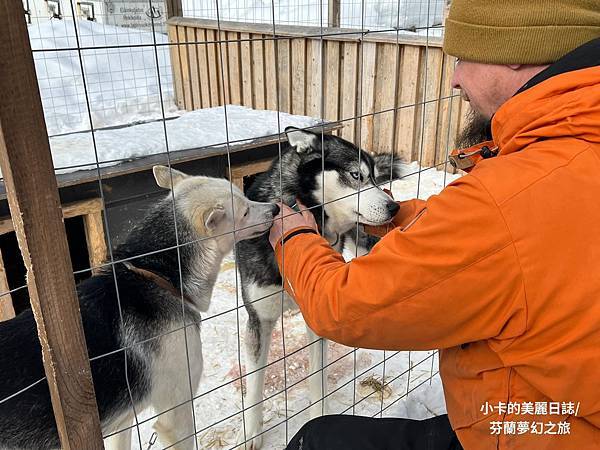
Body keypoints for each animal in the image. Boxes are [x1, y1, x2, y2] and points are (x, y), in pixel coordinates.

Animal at [0, 165, 280, 450]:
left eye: (244, 197)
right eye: (244, 212)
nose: (275, 208)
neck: (156, 275)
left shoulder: (121, 422)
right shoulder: (176, 413)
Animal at [237, 127, 400, 450]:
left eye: (375, 177)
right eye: (356, 175)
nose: (394, 206)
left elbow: (317, 376)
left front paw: (318, 415)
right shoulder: (258, 320)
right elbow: (255, 385)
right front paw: (252, 431)